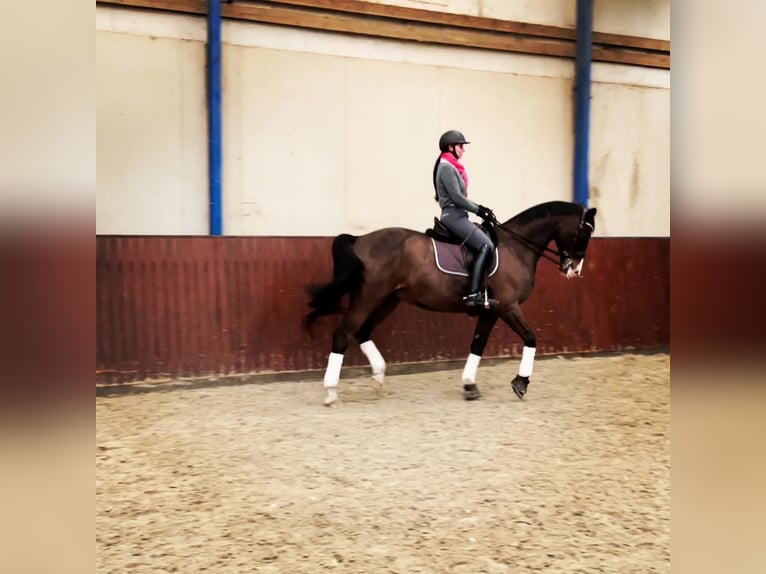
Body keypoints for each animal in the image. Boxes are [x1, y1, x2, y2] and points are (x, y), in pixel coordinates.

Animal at [304, 200, 600, 408]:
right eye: (585, 233)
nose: (574, 270)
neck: (515, 247)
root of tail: (359, 240)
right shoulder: (508, 307)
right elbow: (531, 339)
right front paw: (521, 384)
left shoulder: (491, 311)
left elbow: (477, 344)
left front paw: (469, 386)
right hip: (369, 297)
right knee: (343, 334)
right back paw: (331, 393)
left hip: (388, 300)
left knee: (363, 332)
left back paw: (378, 379)